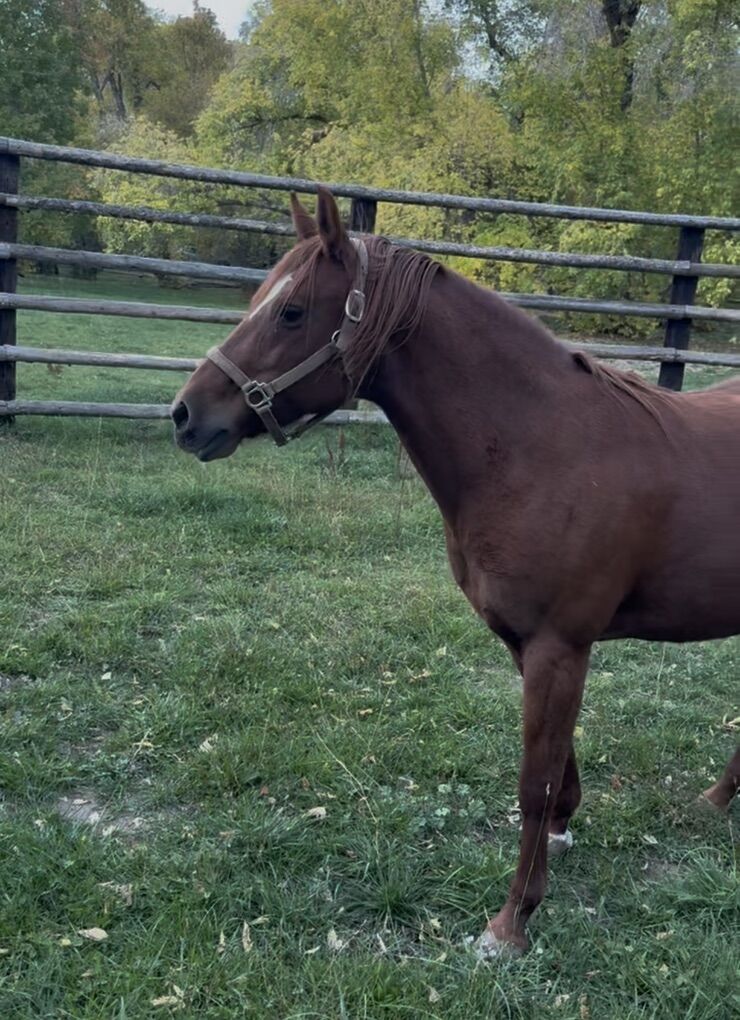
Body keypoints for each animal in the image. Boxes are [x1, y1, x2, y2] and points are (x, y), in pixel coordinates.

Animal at [171, 188, 740, 957]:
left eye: (291, 312)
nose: (185, 415)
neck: (543, 448)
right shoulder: (526, 643)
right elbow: (557, 766)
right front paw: (561, 834)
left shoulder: (560, 647)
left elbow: (533, 781)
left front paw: (511, 923)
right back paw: (715, 801)